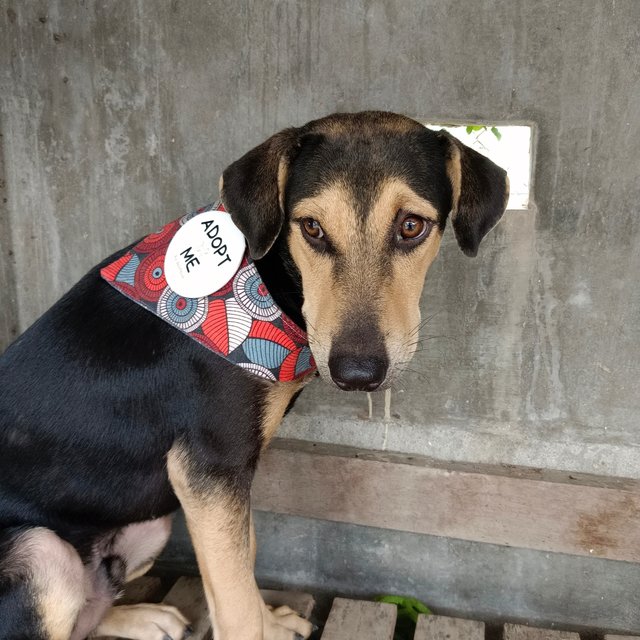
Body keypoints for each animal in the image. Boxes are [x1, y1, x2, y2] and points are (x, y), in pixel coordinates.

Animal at [0, 111, 510, 640]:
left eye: (412, 226)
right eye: (311, 228)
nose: (357, 374)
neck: (265, 283)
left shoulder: (227, 478)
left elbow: (246, 557)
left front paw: (273, 622)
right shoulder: (210, 468)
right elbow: (236, 603)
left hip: (149, 526)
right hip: (43, 553)